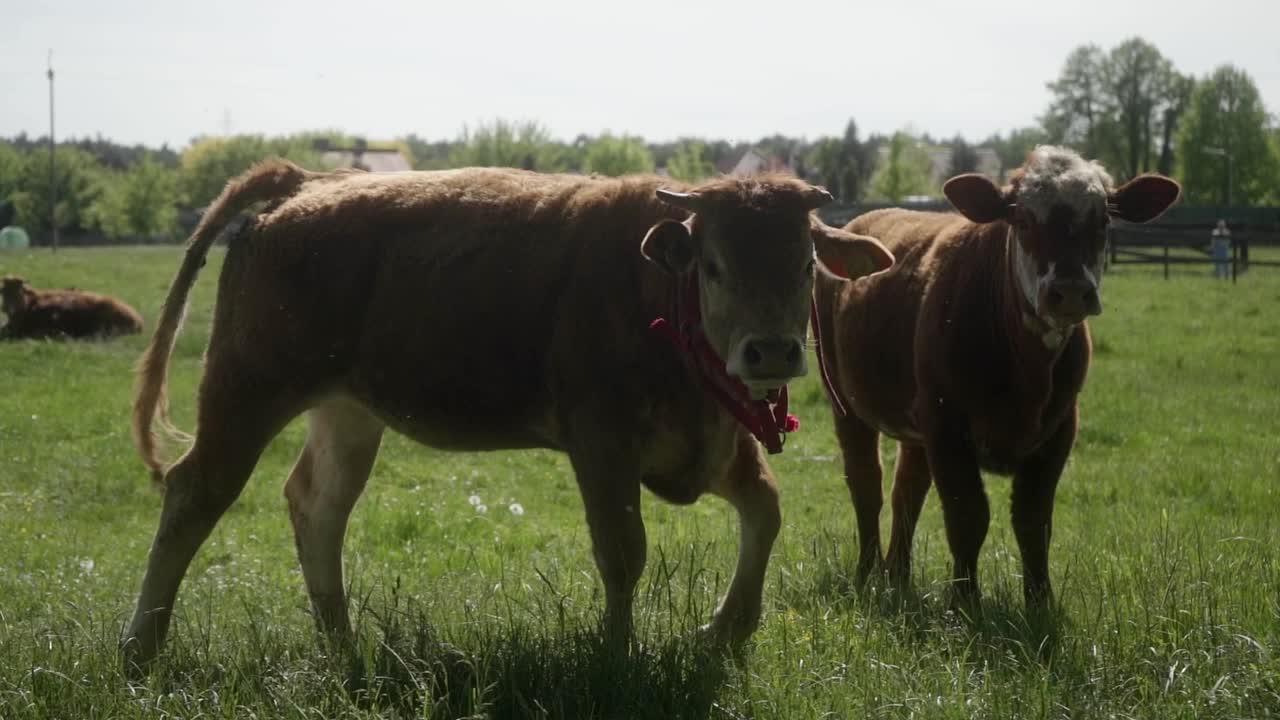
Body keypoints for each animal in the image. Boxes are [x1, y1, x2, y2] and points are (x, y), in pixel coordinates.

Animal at [124, 159, 896, 671]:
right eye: (713, 266)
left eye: (805, 265)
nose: (772, 351)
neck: (653, 285)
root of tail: (306, 185)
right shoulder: (602, 446)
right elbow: (623, 552)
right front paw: (616, 653)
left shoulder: (713, 447)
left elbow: (765, 508)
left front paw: (726, 627)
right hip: (246, 391)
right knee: (195, 493)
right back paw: (141, 646)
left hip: (348, 411)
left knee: (318, 504)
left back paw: (342, 641)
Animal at [814, 146, 1172, 604]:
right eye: (1023, 220)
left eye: (1103, 221)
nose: (1071, 291)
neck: (1026, 373)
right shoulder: (948, 426)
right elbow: (968, 516)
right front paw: (965, 603)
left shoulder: (1060, 429)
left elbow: (1033, 522)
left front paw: (1040, 602)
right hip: (846, 402)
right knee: (866, 485)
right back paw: (867, 572)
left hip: (917, 423)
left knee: (906, 490)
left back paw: (897, 574)